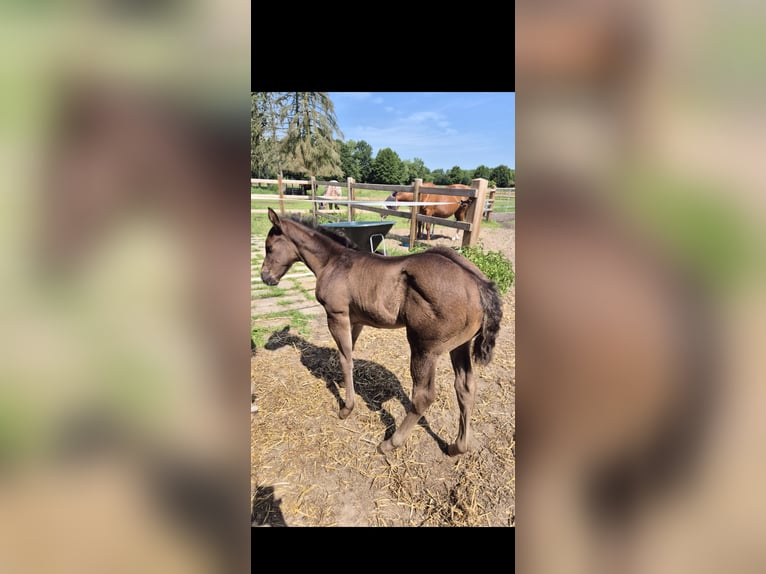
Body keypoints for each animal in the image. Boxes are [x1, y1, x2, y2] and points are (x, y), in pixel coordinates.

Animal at [260, 207, 503, 455]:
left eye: (269, 247)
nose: (265, 277)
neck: (333, 262)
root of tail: (478, 284)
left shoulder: (336, 315)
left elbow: (345, 358)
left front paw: (346, 408)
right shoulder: (356, 320)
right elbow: (349, 354)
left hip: (424, 347)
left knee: (423, 396)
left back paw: (391, 442)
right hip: (460, 345)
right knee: (465, 388)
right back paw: (458, 446)